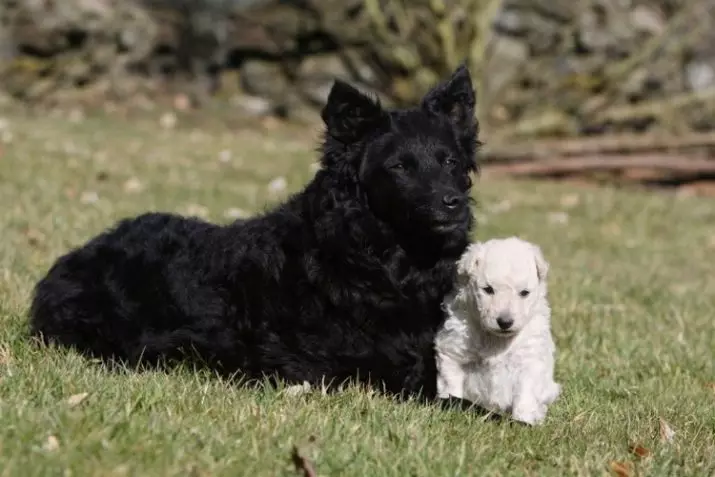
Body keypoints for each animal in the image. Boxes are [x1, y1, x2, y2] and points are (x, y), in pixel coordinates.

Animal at [30, 63, 484, 398]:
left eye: (450, 162)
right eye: (399, 167)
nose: (453, 203)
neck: (373, 257)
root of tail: (74, 257)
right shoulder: (341, 368)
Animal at [434, 238, 564, 424]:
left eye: (524, 293)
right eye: (488, 289)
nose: (505, 322)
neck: (496, 339)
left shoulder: (529, 360)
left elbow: (525, 395)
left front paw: (523, 421)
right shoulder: (453, 351)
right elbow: (451, 384)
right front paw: (450, 406)